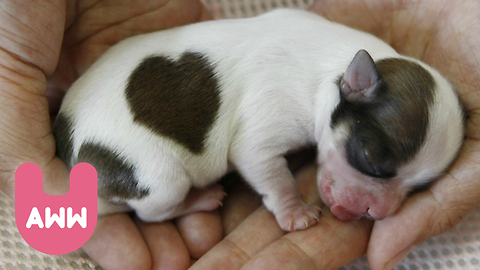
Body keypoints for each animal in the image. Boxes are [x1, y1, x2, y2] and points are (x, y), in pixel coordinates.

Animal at [53, 9, 464, 231]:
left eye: (419, 187)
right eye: (369, 160)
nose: (372, 213)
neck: (334, 66)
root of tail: (67, 147)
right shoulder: (264, 130)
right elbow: (273, 174)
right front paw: (295, 212)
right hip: (159, 177)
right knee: (154, 211)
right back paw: (199, 199)